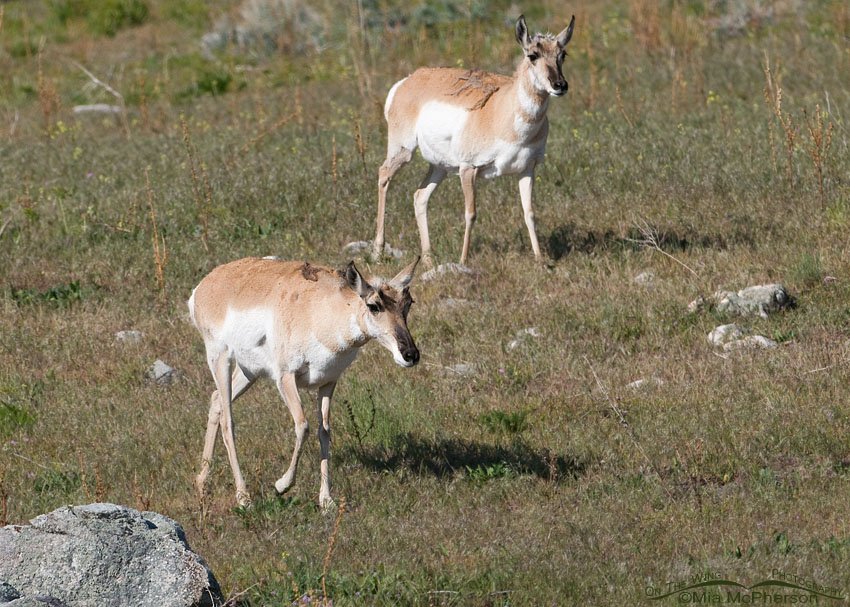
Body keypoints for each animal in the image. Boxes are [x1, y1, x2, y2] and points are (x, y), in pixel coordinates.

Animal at [188, 256, 420, 510]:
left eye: (408, 303)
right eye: (374, 305)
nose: (411, 354)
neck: (318, 310)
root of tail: (206, 283)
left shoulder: (328, 382)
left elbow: (324, 431)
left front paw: (326, 500)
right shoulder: (285, 378)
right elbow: (303, 426)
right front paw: (281, 485)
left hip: (249, 371)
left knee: (216, 400)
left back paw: (201, 484)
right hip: (220, 359)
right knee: (228, 420)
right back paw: (243, 496)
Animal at [373, 14, 576, 267]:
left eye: (562, 54)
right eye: (533, 55)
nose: (560, 85)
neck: (501, 109)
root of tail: (408, 80)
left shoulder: (527, 169)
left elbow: (529, 213)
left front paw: (540, 260)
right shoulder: (468, 169)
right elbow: (471, 213)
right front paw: (462, 261)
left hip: (439, 166)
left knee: (420, 197)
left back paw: (428, 259)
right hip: (403, 151)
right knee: (384, 176)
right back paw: (378, 252)